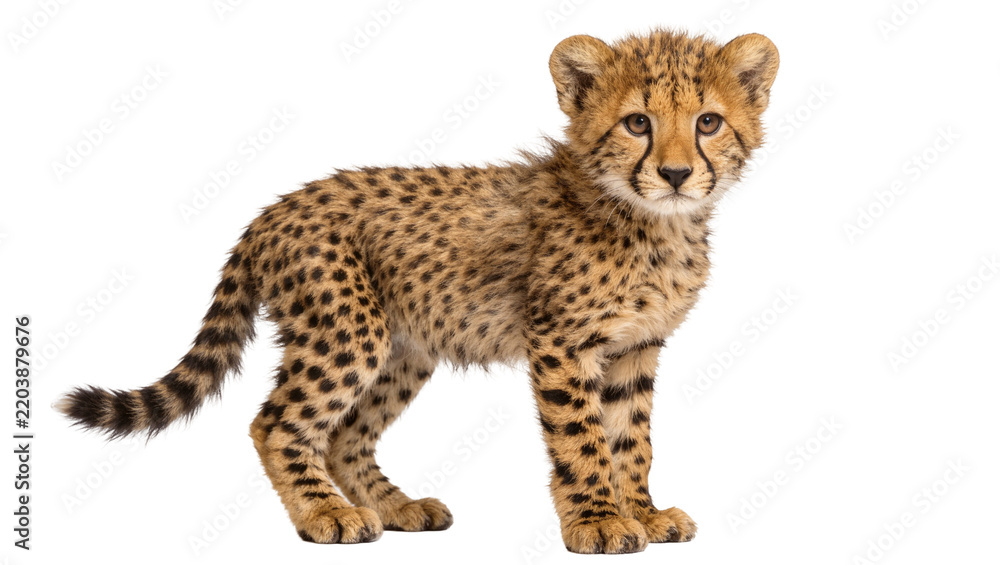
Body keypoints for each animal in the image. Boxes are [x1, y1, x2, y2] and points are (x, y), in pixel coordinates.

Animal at [57, 28, 778, 554]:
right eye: (636, 124)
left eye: (708, 121)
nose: (677, 173)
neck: (653, 221)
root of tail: (278, 206)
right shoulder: (562, 345)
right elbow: (583, 439)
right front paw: (599, 520)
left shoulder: (634, 349)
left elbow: (633, 438)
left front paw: (642, 512)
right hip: (347, 331)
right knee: (277, 422)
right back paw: (325, 513)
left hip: (404, 348)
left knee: (345, 435)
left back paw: (394, 505)